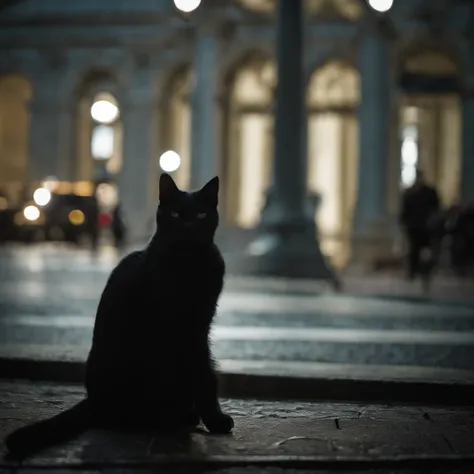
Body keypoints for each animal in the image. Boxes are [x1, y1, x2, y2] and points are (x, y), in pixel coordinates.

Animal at [3, 172, 233, 458]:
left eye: (201, 214)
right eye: (176, 214)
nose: (189, 226)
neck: (190, 264)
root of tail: (92, 400)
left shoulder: (201, 325)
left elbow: (206, 374)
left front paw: (213, 418)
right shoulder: (184, 330)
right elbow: (202, 374)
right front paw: (213, 420)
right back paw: (172, 418)